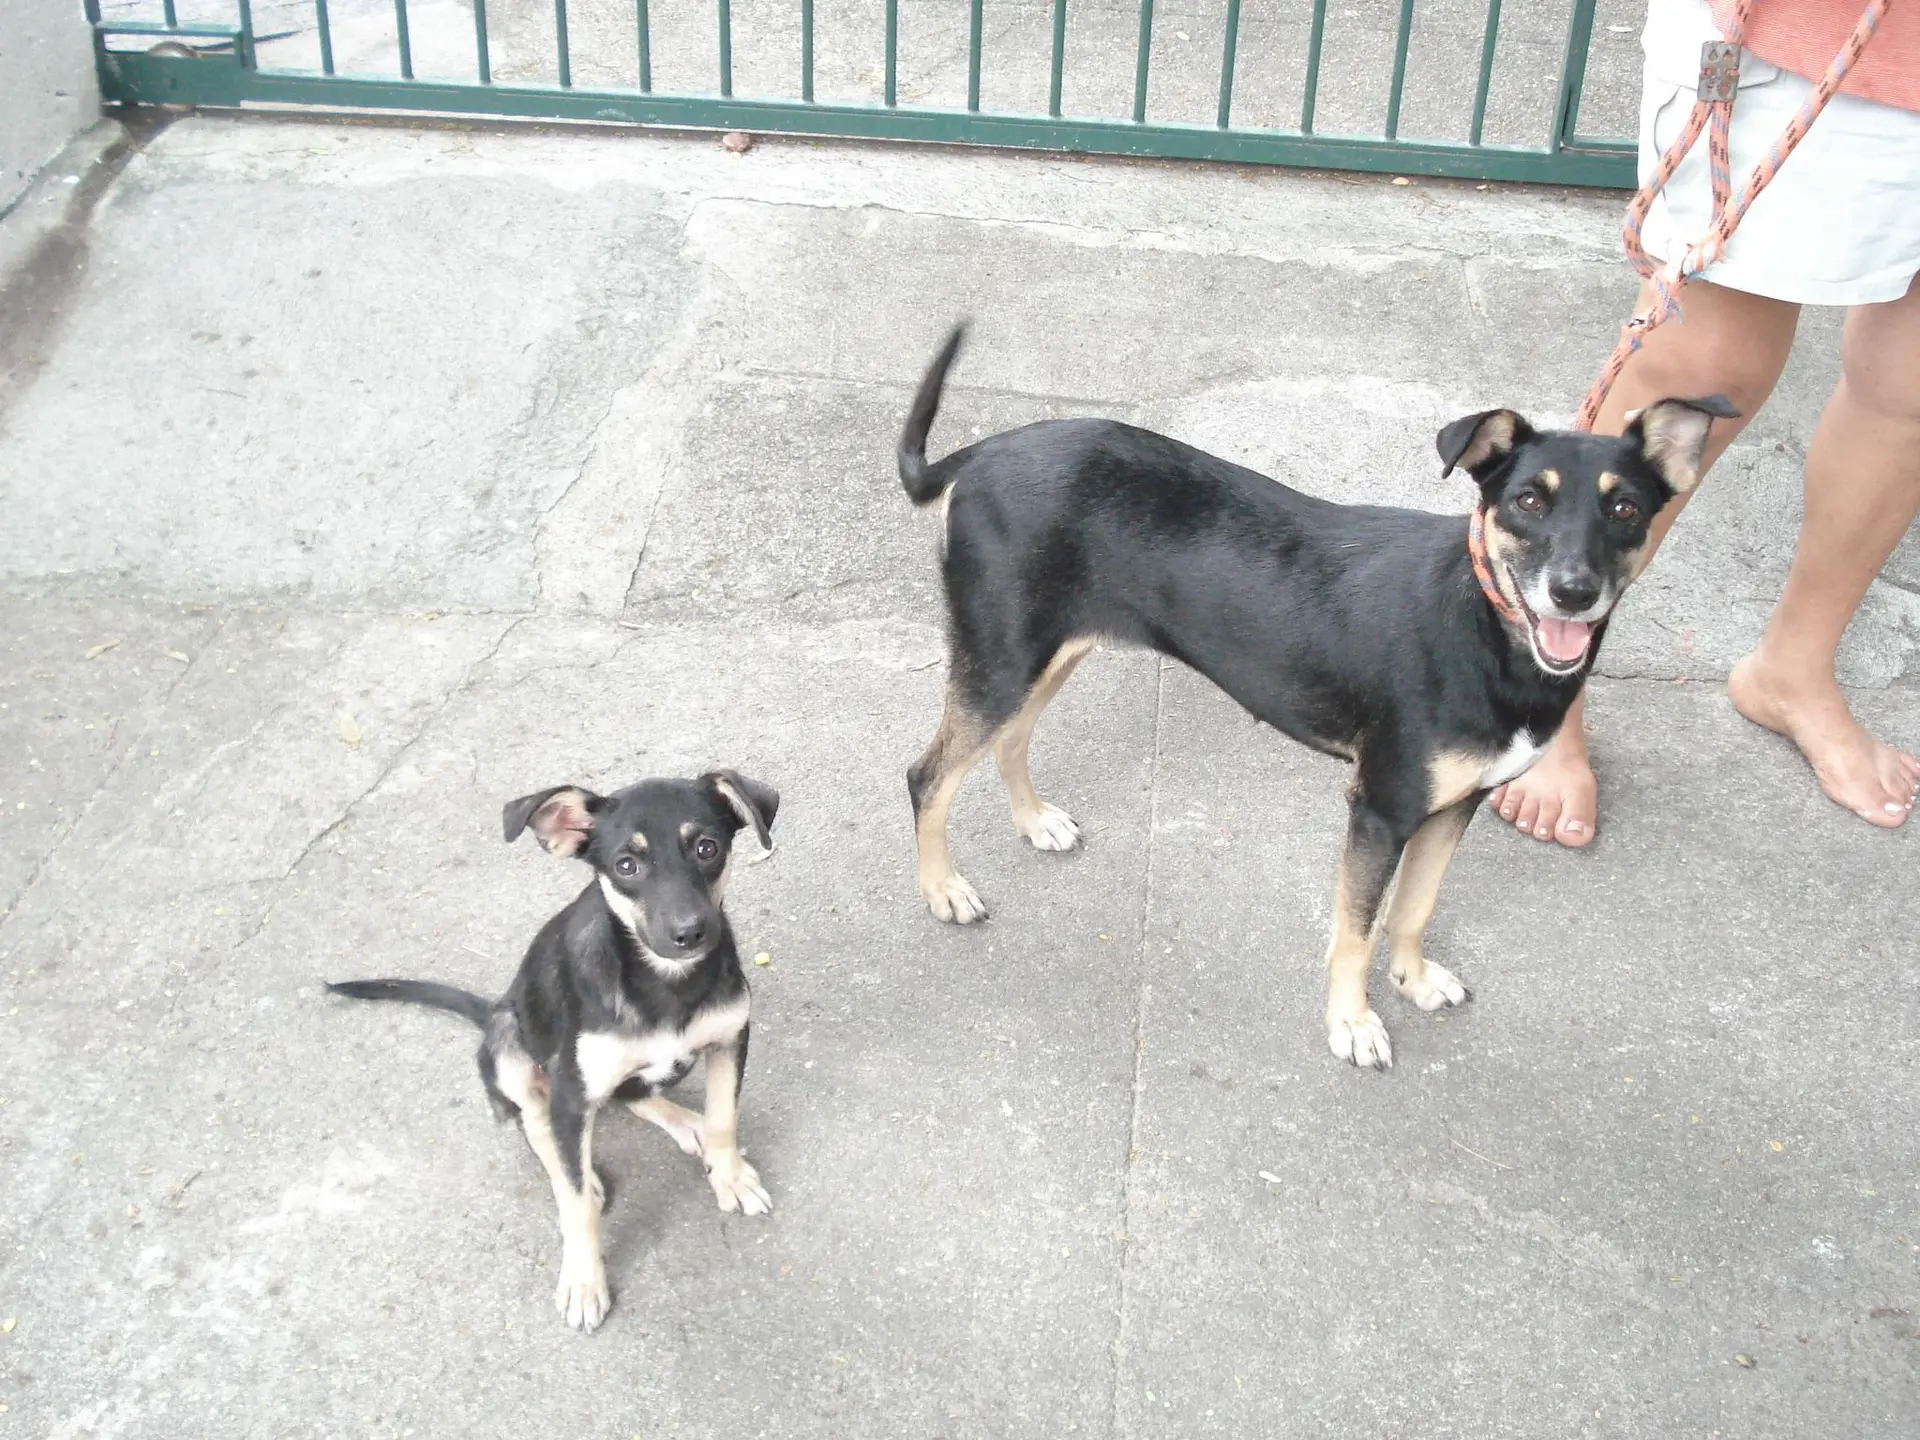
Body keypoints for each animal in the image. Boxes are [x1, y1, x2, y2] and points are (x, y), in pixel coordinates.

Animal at [330, 771, 779, 1336]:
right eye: (626, 865)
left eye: (707, 847)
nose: (690, 933)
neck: (664, 984)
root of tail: (490, 1011)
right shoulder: (571, 1091)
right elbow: (575, 1204)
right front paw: (584, 1281)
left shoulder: (730, 1037)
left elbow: (723, 1119)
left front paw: (731, 1177)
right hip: (510, 1049)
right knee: (537, 1127)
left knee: (634, 1096)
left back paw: (685, 1122)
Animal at [898, 326, 1743, 1075]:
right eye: (1529, 501)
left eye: (1625, 509)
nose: (1573, 592)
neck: (1482, 625)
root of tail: (978, 454)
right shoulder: (1380, 807)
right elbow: (1357, 930)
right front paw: (1354, 1023)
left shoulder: (1450, 806)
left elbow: (1414, 908)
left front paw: (1414, 978)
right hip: (1003, 656)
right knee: (927, 776)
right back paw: (943, 891)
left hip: (1046, 651)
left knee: (1009, 739)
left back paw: (1034, 822)